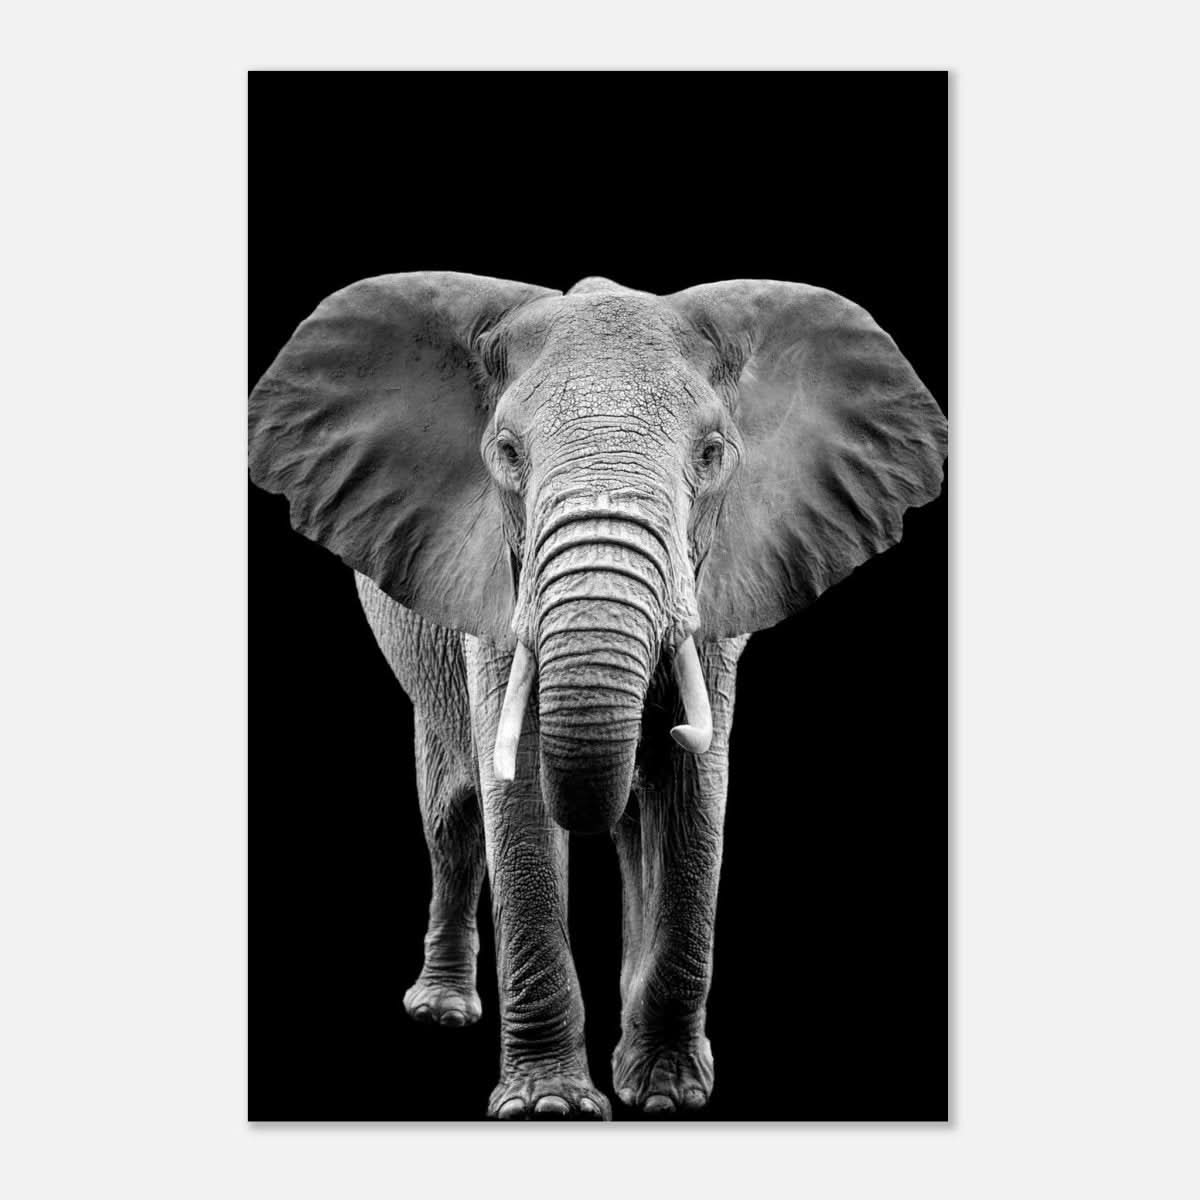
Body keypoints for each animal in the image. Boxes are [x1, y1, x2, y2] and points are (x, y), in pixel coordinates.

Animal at [248, 271, 947, 1120]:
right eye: (506, 453)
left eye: (712, 455)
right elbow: (515, 797)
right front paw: (549, 1106)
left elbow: (694, 794)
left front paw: (668, 1094)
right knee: (452, 816)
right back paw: (442, 1011)